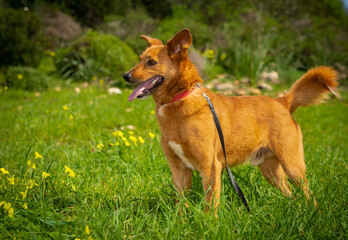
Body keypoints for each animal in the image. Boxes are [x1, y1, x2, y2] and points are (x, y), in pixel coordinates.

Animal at [123, 28, 338, 212]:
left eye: (151, 62)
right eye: (139, 59)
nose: (125, 75)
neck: (179, 99)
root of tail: (282, 101)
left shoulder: (210, 168)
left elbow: (210, 205)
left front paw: (209, 226)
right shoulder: (179, 170)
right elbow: (181, 204)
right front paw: (181, 223)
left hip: (293, 166)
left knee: (307, 192)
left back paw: (313, 212)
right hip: (270, 170)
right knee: (289, 192)